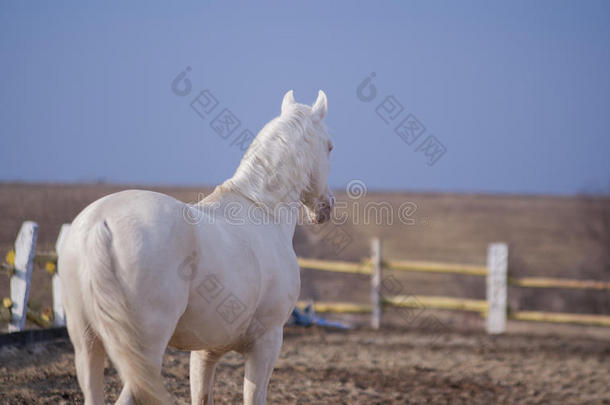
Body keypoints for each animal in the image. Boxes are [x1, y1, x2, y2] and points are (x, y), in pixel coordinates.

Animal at [59, 90, 334, 402]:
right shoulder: (267, 341)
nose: (326, 207)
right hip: (143, 352)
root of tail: (101, 222)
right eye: (329, 147)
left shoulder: (204, 351)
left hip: (87, 344)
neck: (262, 211)